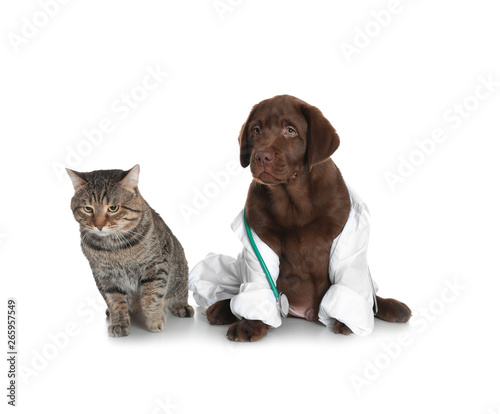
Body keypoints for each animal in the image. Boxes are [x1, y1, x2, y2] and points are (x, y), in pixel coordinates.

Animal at [69, 165, 194, 336]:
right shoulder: (104, 276)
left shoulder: (155, 266)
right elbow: (115, 301)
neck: (114, 247)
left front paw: (155, 320)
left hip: (180, 273)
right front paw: (119, 322)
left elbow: (151, 297)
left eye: (113, 208)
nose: (99, 225)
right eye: (88, 209)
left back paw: (181, 306)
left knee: (179, 293)